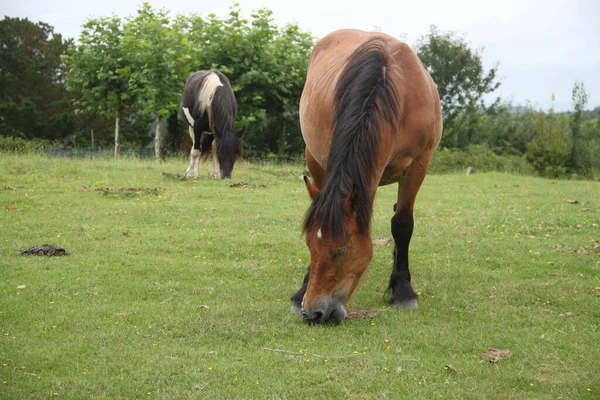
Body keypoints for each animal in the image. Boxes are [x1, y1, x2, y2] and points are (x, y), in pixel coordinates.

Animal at [292, 30, 442, 324]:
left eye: (341, 251)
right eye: (309, 246)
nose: (313, 312)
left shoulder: (418, 166)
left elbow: (402, 224)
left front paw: (403, 292)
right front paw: (301, 289)